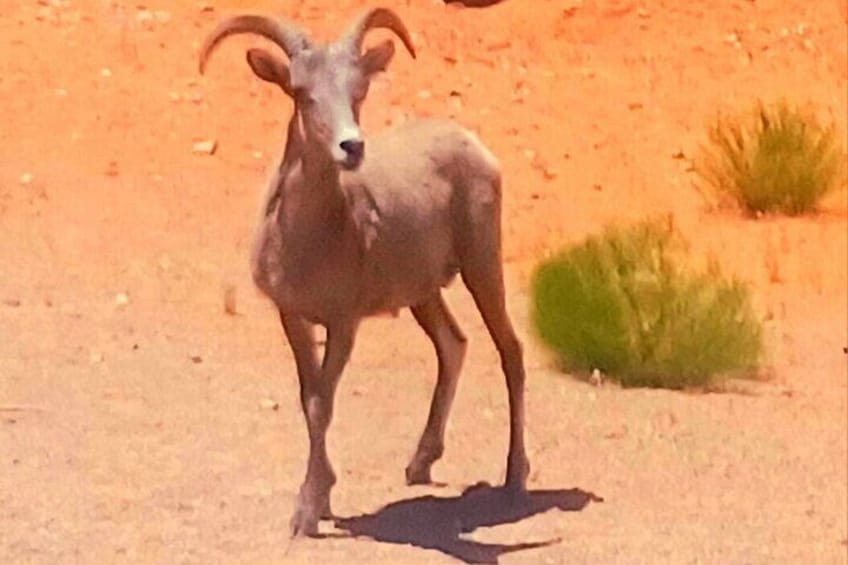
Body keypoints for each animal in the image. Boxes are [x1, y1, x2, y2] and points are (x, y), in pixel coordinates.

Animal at [199, 7, 530, 537]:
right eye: (301, 92)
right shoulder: (293, 317)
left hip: (482, 264)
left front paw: (308, 512)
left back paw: (515, 478)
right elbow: (309, 399)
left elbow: (322, 403)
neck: (309, 240)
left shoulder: (343, 323)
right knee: (453, 345)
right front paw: (324, 496)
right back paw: (419, 464)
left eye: (359, 90)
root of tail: (474, 146)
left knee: (511, 353)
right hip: (423, 293)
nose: (351, 147)